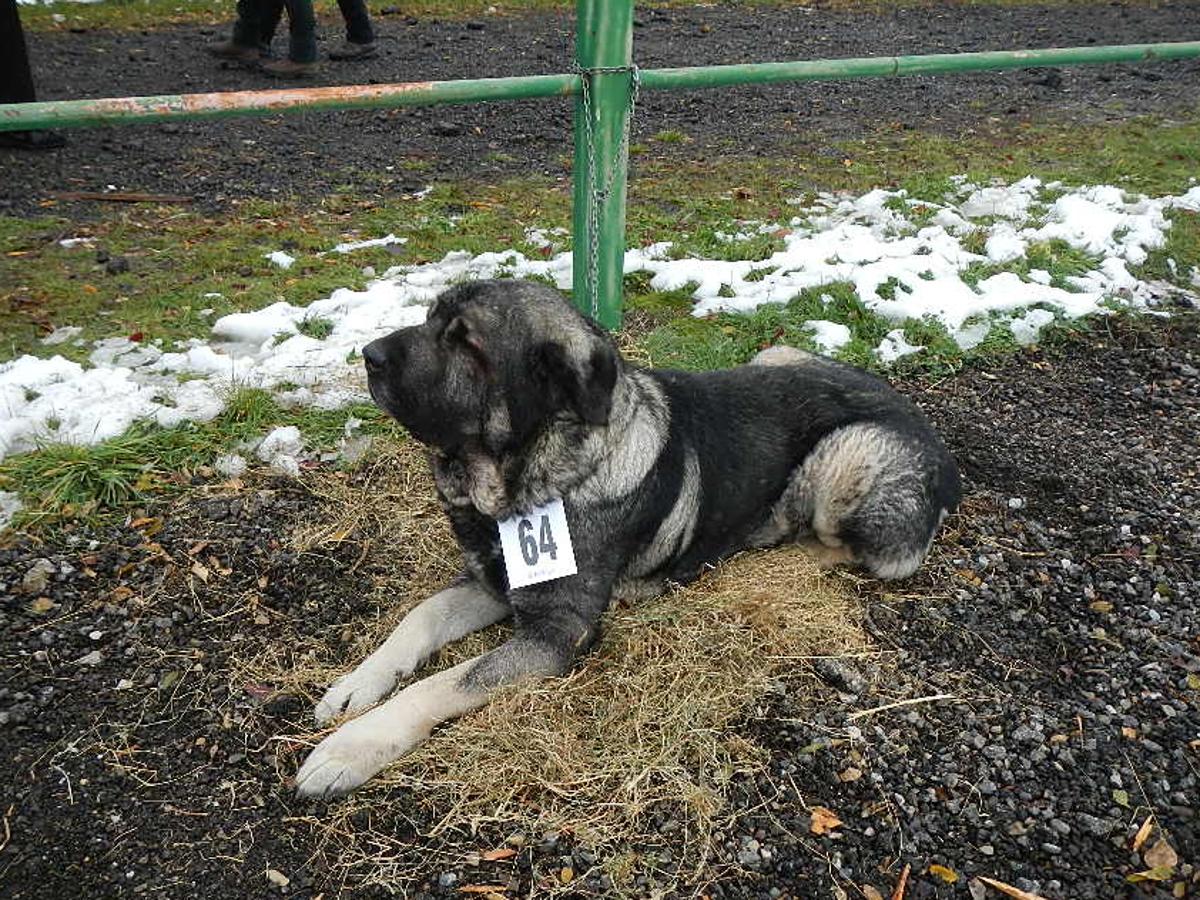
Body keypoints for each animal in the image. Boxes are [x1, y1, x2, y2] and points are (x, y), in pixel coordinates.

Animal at [295, 280, 960, 796]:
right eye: (432, 319)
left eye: (466, 342)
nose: (368, 354)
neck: (537, 470)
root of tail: (938, 447)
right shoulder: (490, 582)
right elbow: (419, 620)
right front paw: (355, 688)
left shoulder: (557, 631)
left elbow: (441, 684)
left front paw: (350, 747)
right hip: (777, 353)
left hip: (849, 451)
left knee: (845, 545)